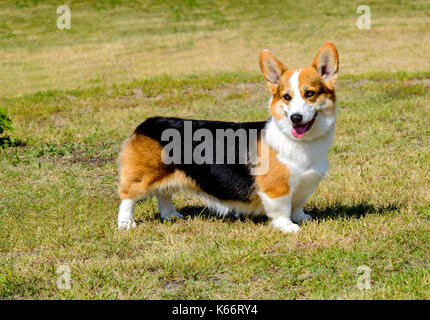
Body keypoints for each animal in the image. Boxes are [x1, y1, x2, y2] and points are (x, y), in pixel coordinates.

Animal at [117, 42, 340, 232]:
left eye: (309, 93)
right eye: (286, 97)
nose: (296, 118)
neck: (302, 142)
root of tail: (147, 123)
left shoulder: (305, 184)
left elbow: (297, 205)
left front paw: (303, 218)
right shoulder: (276, 188)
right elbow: (282, 209)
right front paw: (288, 227)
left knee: (164, 193)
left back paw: (171, 215)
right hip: (143, 177)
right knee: (127, 197)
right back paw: (126, 223)